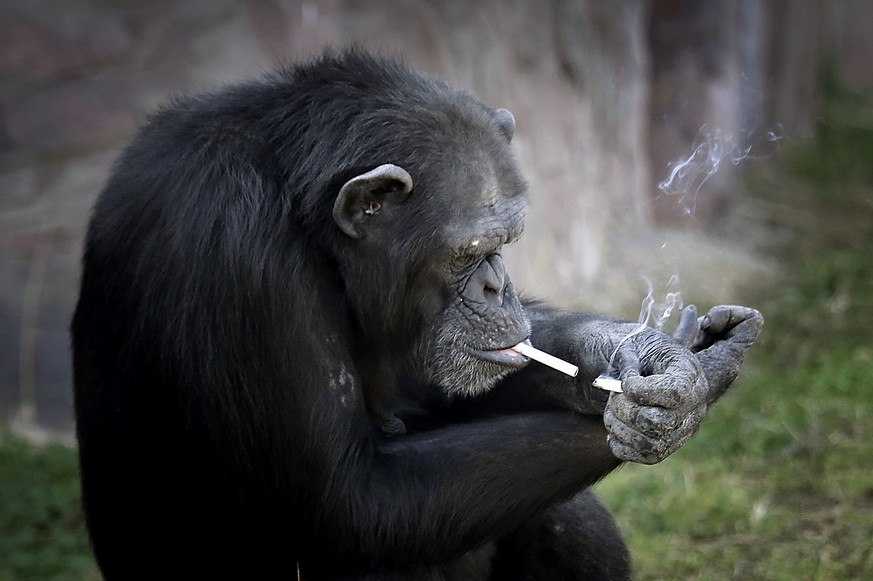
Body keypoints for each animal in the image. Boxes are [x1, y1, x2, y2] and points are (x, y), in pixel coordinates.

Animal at [71, 49, 760, 580]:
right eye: (467, 253)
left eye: (507, 241)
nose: (497, 287)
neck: (303, 214)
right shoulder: (240, 256)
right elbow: (353, 502)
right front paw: (686, 394)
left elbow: (437, 388)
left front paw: (653, 364)